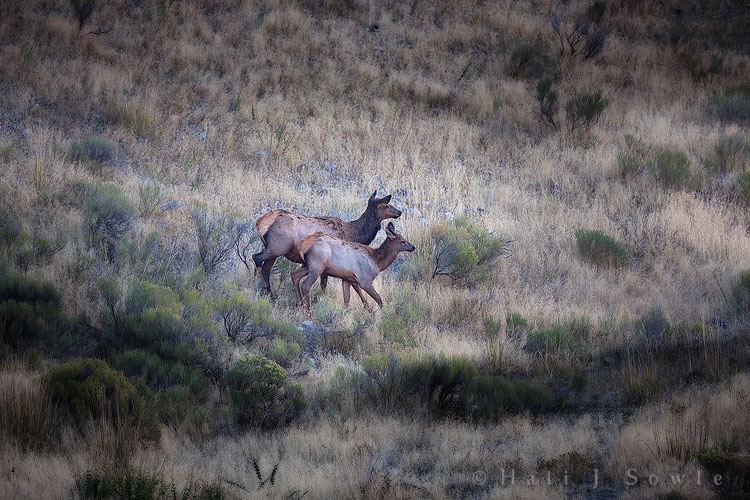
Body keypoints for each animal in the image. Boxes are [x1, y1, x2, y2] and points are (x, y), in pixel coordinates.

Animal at [252, 191, 402, 300]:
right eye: (386, 205)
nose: (399, 212)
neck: (353, 233)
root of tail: (260, 222)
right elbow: (325, 285)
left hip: (273, 250)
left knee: (266, 268)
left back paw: (269, 295)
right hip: (277, 247)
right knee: (256, 258)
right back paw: (265, 289)